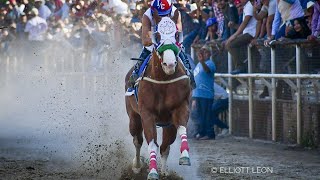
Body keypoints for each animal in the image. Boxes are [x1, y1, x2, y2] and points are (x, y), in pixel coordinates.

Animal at [124, 15, 190, 180]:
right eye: (158, 36)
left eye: (176, 35)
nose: (170, 64)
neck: (163, 80)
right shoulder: (147, 113)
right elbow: (151, 143)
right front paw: (152, 172)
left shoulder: (180, 107)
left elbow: (182, 129)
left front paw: (184, 157)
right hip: (133, 116)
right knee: (137, 140)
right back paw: (137, 166)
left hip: (167, 123)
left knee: (165, 146)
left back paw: (164, 171)